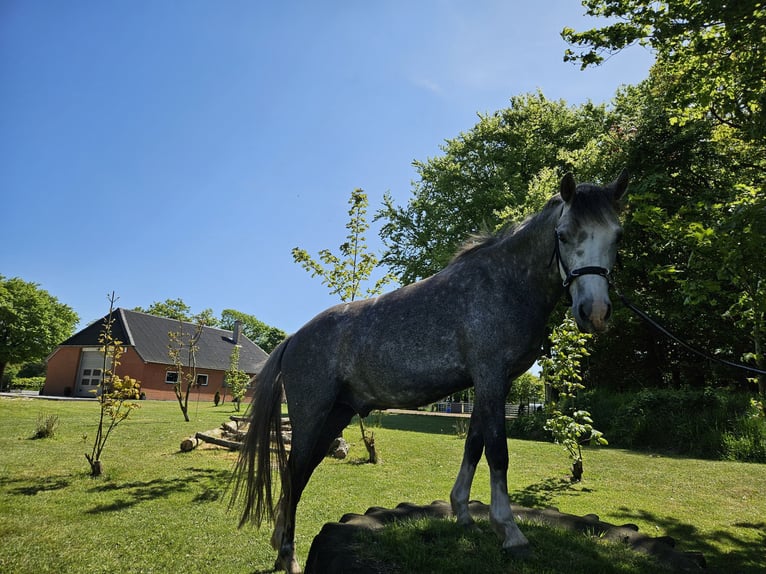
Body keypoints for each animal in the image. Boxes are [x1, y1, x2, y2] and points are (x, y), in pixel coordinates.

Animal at [231, 170, 628, 573]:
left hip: (335, 415)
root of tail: (293, 339)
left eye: (617, 236)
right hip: (312, 415)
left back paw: (280, 546)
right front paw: (510, 532)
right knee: (294, 473)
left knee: (299, 473)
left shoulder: (489, 384)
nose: (595, 312)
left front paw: (464, 515)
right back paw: (288, 555)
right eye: (563, 235)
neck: (505, 283)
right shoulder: (490, 376)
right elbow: (497, 452)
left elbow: (473, 445)